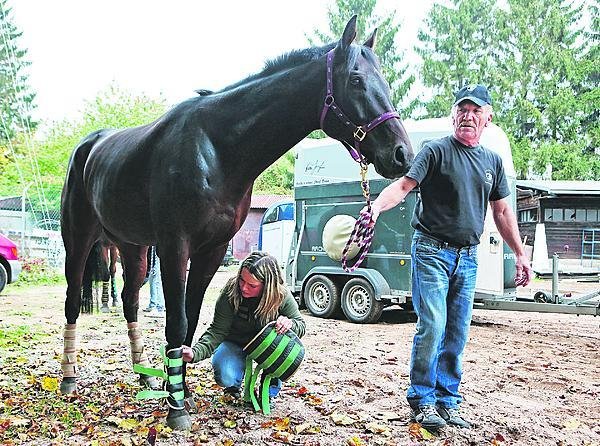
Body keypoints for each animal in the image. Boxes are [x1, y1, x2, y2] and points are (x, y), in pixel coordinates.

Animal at [61, 15, 414, 430]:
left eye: (385, 81)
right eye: (357, 80)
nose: (402, 154)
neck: (216, 149)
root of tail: (87, 148)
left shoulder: (211, 251)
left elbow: (192, 321)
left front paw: (180, 391)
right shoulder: (175, 246)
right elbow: (176, 321)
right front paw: (176, 408)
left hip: (133, 248)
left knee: (130, 303)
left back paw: (142, 374)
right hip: (80, 240)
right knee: (72, 301)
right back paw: (68, 378)